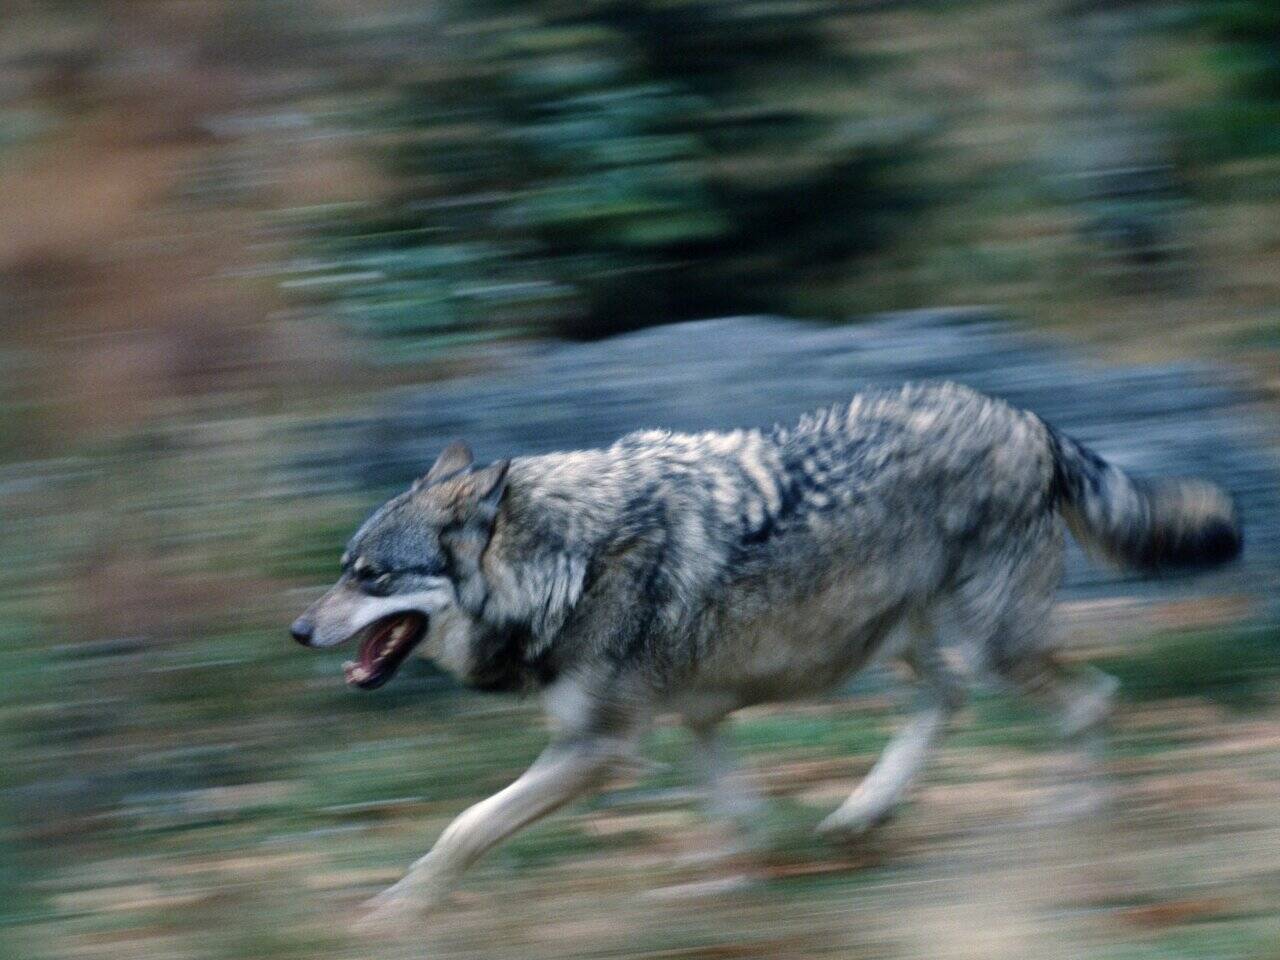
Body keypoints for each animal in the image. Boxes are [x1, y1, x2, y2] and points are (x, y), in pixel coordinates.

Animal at [290, 384, 1239, 926]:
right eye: (343, 568)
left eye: (370, 577)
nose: (297, 630)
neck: (566, 559)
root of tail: (1027, 419)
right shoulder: (695, 718)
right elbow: (734, 819)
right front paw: (725, 891)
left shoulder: (598, 749)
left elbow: (462, 828)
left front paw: (396, 911)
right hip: (905, 642)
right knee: (950, 702)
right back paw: (863, 814)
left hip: (992, 641)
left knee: (1092, 699)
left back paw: (1075, 822)